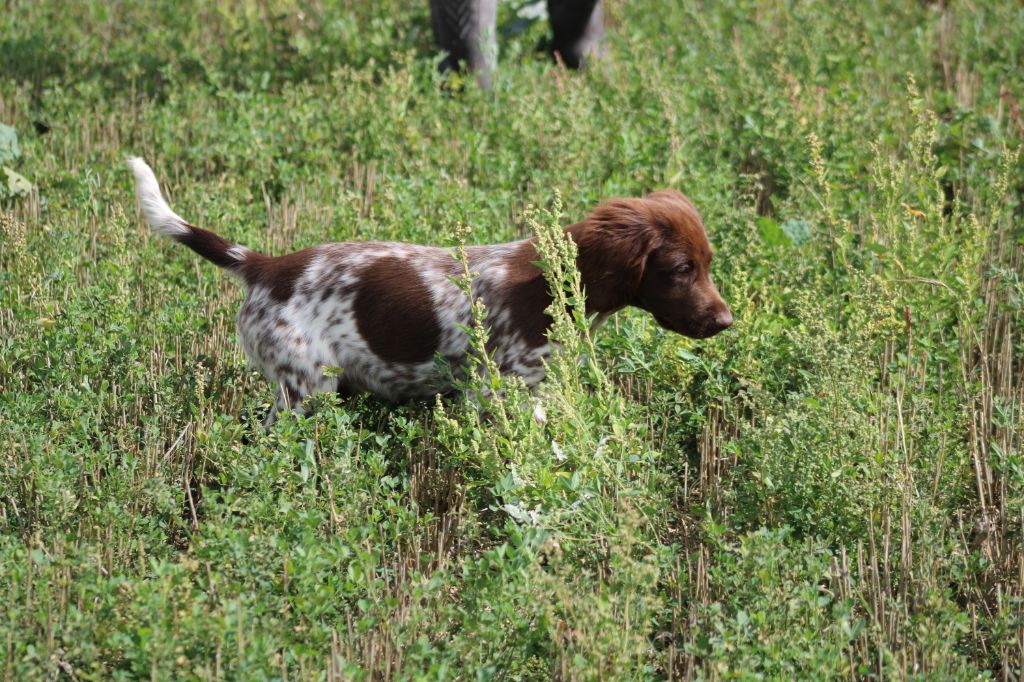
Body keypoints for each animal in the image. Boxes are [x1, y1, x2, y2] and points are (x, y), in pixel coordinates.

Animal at [128, 157, 733, 421]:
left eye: (707, 263)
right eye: (680, 268)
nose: (726, 322)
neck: (546, 285)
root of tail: (265, 266)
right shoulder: (500, 390)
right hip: (305, 386)